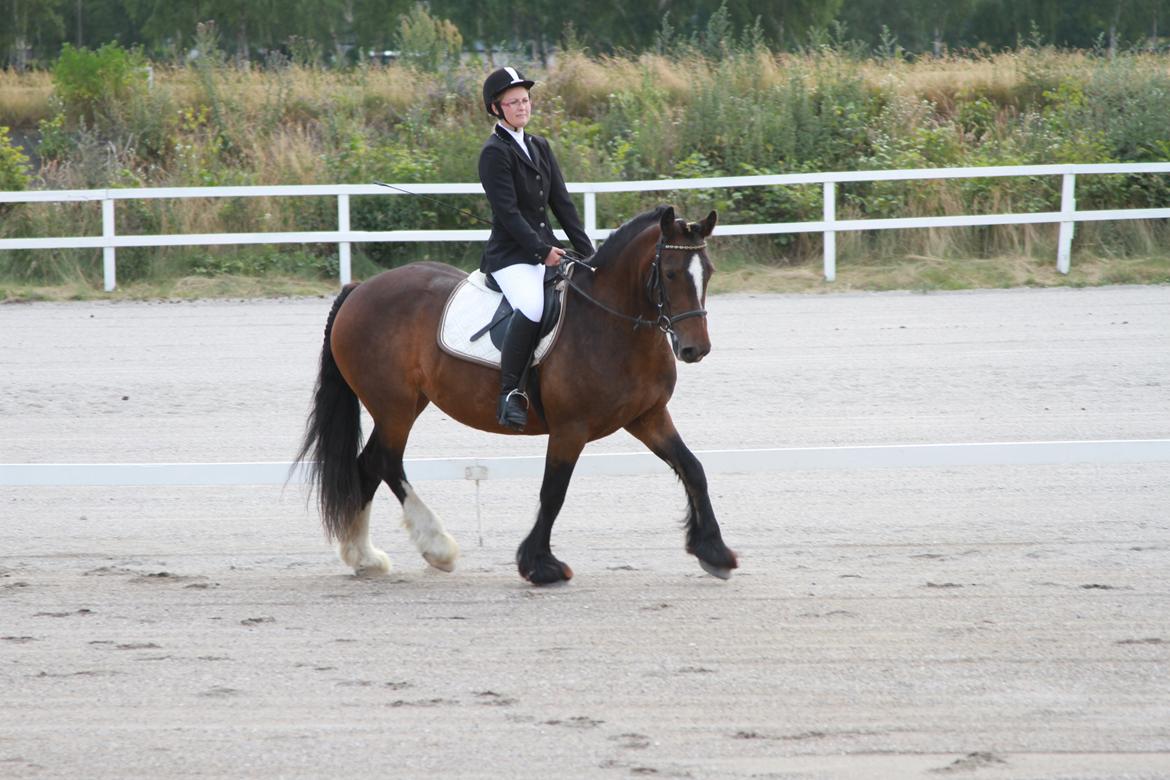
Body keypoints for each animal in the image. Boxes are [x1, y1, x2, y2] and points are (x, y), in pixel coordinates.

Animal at [294, 205, 730, 584]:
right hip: (394, 407)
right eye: (670, 273)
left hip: (406, 404)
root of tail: (359, 289)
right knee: (385, 461)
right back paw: (436, 547)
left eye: (707, 272)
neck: (611, 324)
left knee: (368, 464)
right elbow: (553, 491)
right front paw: (540, 565)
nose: (696, 349)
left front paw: (715, 552)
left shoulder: (648, 416)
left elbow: (693, 468)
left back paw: (365, 558)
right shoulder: (571, 427)